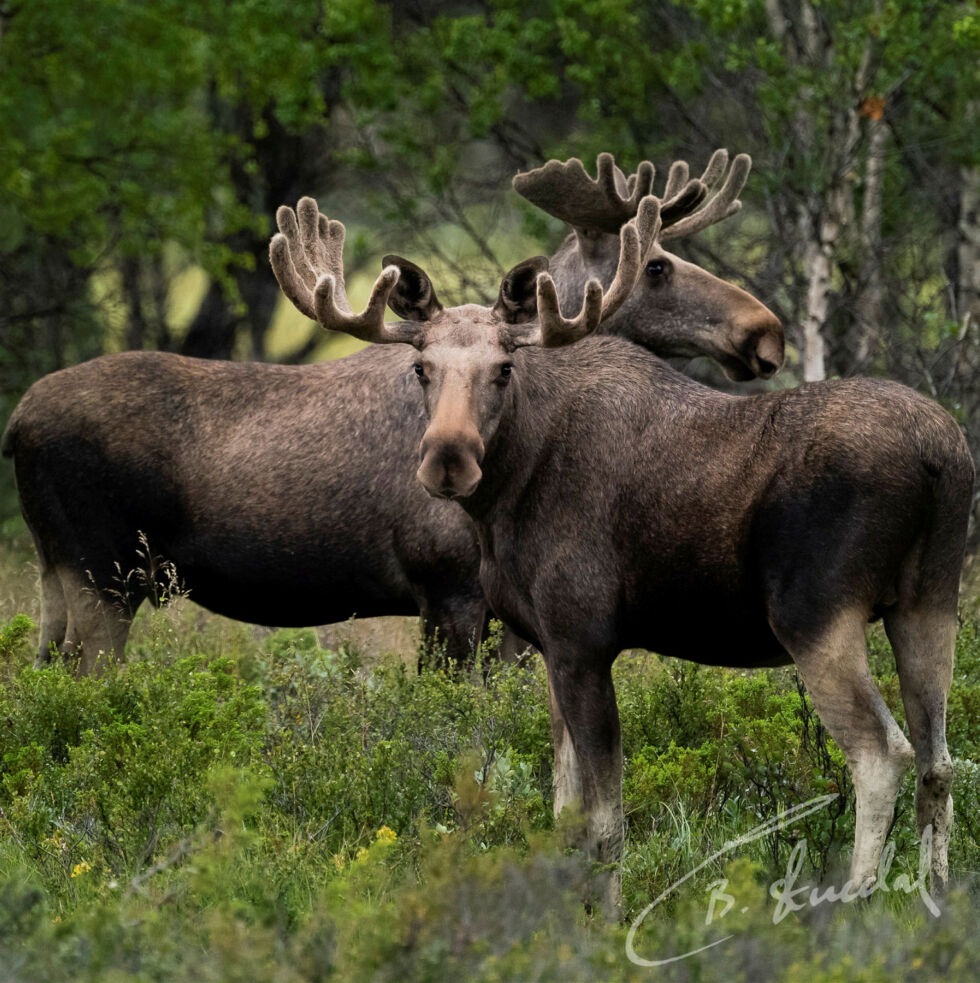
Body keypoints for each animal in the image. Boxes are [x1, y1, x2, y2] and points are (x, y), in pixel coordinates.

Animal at [1, 148, 780, 668]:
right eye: (656, 265)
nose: (764, 331)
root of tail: (15, 424)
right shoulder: (450, 589)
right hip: (100, 573)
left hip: (54, 575)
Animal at [266, 194, 972, 916]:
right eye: (420, 369)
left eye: (504, 369)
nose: (448, 459)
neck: (507, 493)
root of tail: (941, 456)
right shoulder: (549, 645)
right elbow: (565, 811)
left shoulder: (583, 641)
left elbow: (605, 821)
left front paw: (606, 919)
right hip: (928, 602)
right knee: (939, 762)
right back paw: (935, 902)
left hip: (817, 616)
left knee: (882, 755)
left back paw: (850, 906)